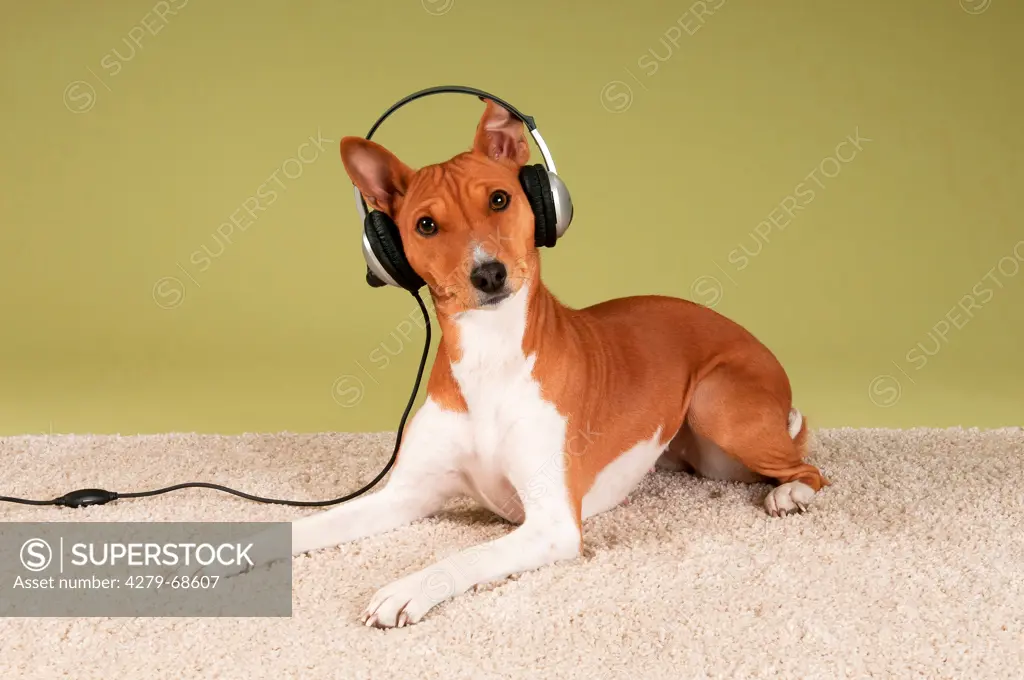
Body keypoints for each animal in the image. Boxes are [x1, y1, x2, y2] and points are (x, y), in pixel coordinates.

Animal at [211, 99, 827, 626]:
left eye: (500, 200)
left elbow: (461, 559)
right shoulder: (404, 495)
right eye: (426, 225)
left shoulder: (551, 525)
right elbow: (304, 523)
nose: (488, 273)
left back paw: (788, 495)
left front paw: (406, 589)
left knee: (809, 467)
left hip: (717, 410)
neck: (491, 355)